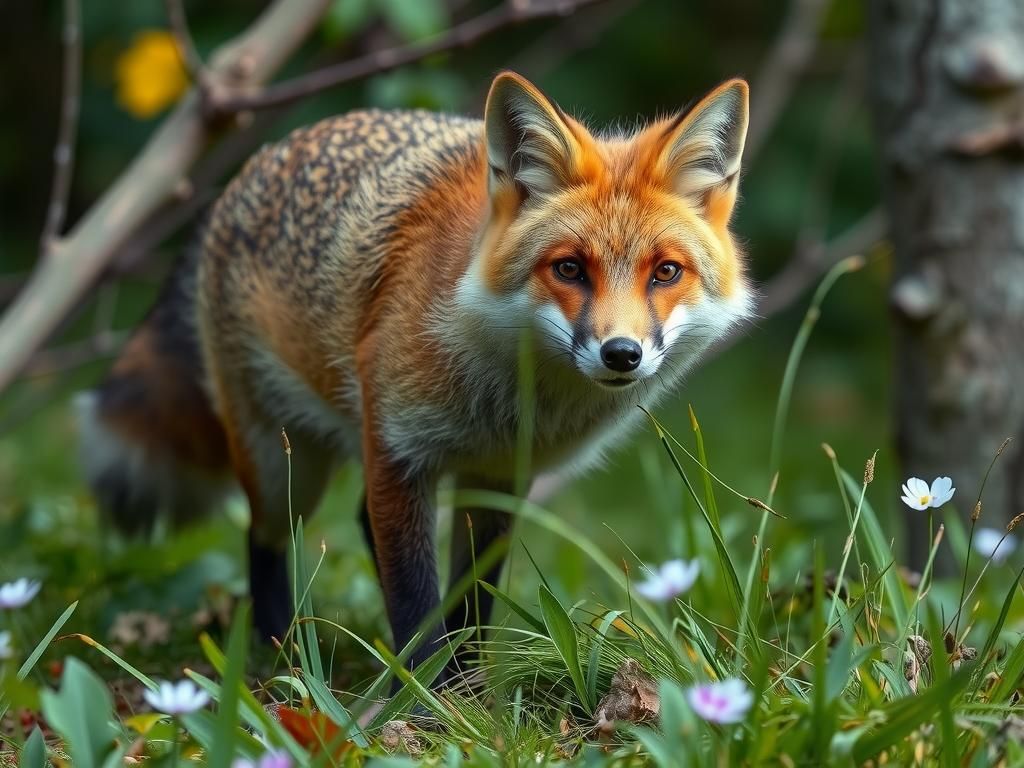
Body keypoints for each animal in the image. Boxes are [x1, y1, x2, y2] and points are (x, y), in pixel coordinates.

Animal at [77, 71, 752, 680]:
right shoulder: (400, 454)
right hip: (283, 465)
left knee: (346, 522)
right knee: (263, 539)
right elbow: (413, 601)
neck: (508, 400)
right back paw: (279, 660)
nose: (621, 354)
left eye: (665, 272)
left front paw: (468, 687)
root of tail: (253, 167)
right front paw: (430, 700)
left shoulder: (497, 476)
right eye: (569, 269)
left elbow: (471, 601)